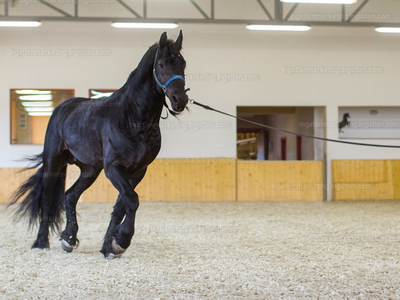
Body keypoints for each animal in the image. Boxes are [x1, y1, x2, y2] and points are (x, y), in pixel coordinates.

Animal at [10, 31, 189, 258]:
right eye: (162, 64)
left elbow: (122, 205)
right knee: (47, 198)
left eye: (183, 64)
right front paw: (122, 240)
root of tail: (63, 108)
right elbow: (132, 200)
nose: (179, 100)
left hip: (90, 169)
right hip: (53, 161)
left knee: (70, 196)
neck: (133, 118)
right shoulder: (113, 168)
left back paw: (69, 239)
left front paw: (110, 246)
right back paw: (41, 242)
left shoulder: (138, 171)